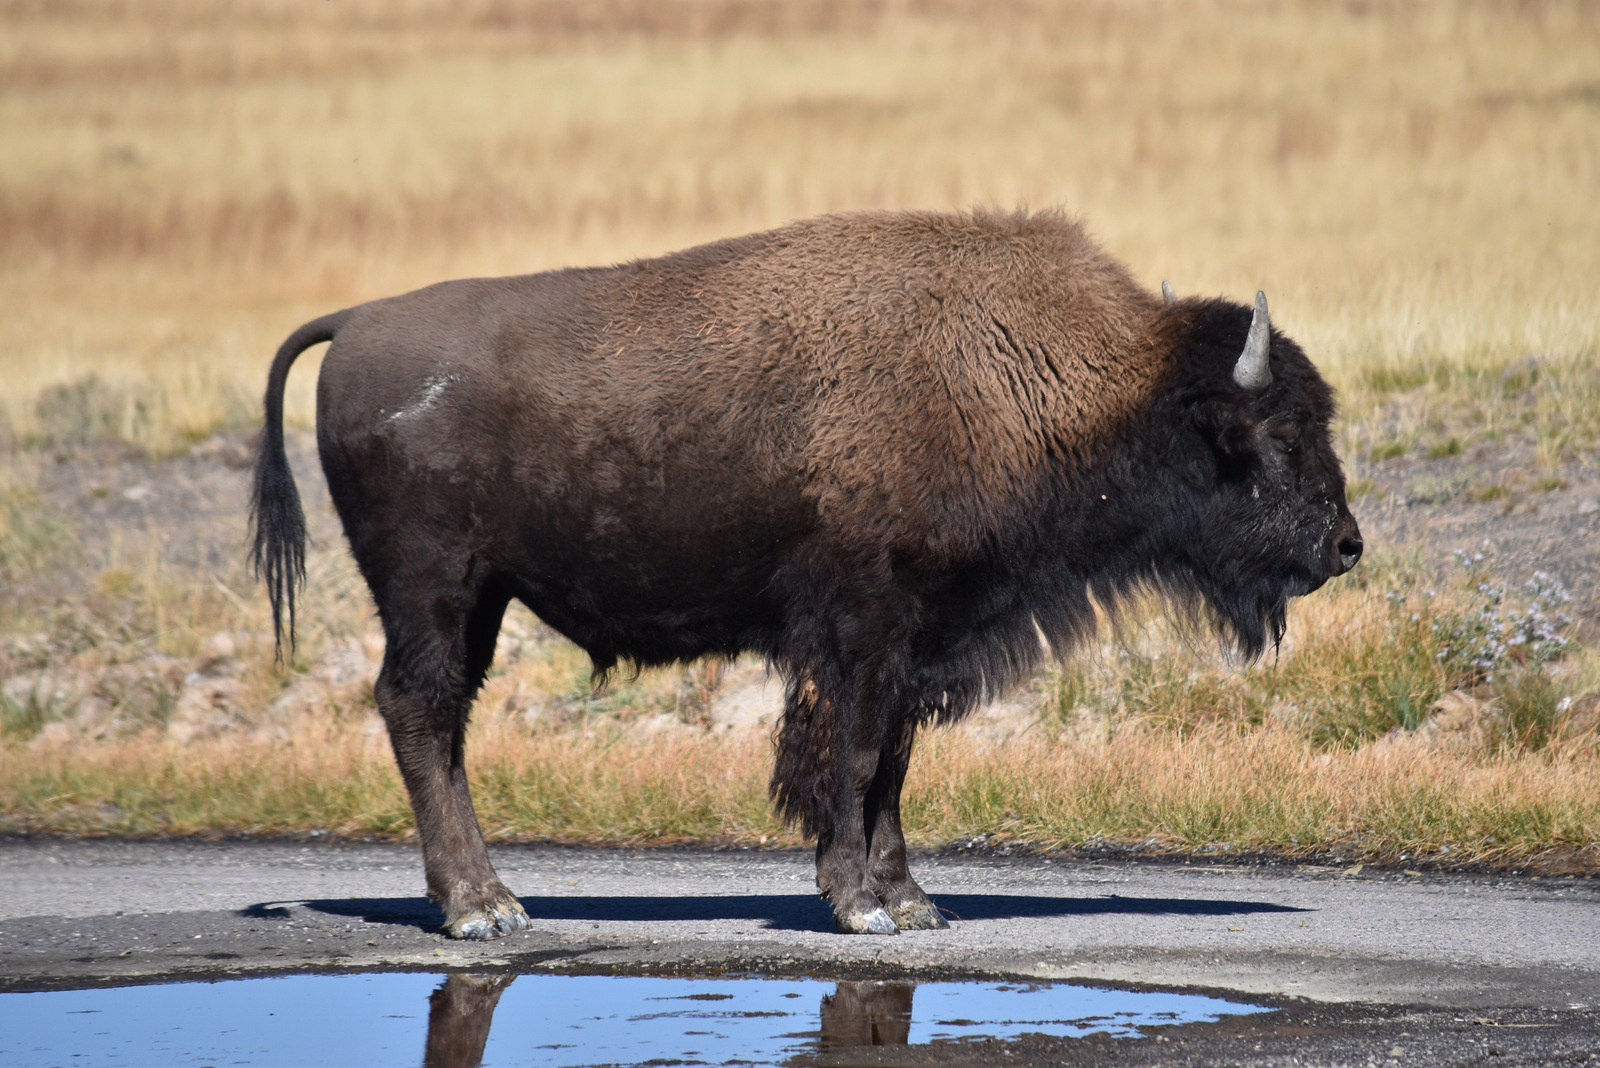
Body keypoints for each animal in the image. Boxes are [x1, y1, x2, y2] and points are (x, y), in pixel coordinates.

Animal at [252, 206, 1363, 933]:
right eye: (1277, 433)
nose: (1346, 544)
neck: (1037, 378)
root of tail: (355, 323)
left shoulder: (917, 644)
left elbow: (895, 766)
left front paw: (914, 903)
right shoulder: (863, 631)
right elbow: (856, 758)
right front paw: (859, 904)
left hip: (479, 598)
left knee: (439, 720)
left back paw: (487, 902)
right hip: (434, 590)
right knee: (421, 712)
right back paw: (482, 911)